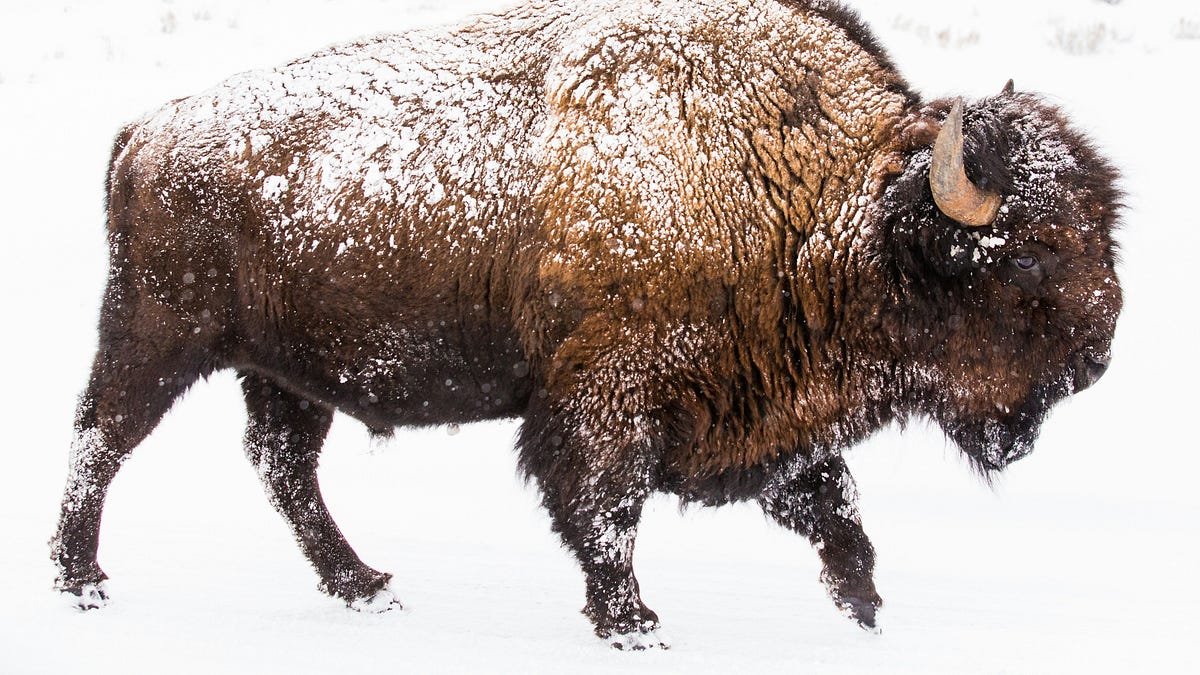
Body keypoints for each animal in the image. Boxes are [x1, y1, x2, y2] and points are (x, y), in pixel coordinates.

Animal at [52, 0, 1122, 649]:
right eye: (1029, 255)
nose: (1101, 353)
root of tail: (144, 132)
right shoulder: (606, 401)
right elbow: (606, 511)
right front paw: (633, 621)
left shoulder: (770, 410)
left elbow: (835, 508)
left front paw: (864, 613)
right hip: (157, 338)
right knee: (100, 441)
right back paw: (82, 581)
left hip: (283, 370)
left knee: (283, 468)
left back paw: (365, 585)